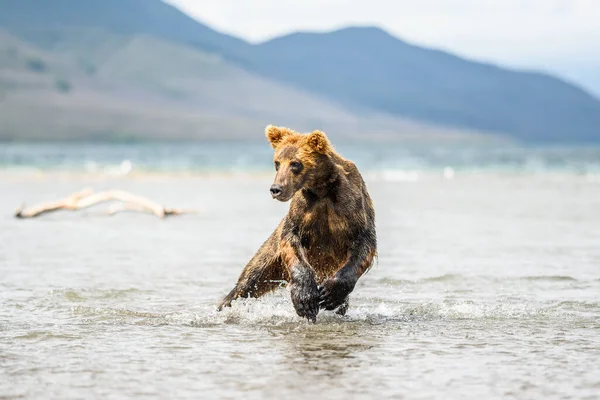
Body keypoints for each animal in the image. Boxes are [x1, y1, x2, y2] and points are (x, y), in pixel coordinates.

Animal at [214, 125, 376, 322]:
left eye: (295, 164)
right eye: (277, 163)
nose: (276, 189)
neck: (322, 189)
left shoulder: (352, 207)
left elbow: (364, 245)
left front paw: (330, 294)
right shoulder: (301, 213)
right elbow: (291, 241)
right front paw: (305, 299)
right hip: (271, 256)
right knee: (249, 281)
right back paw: (223, 306)